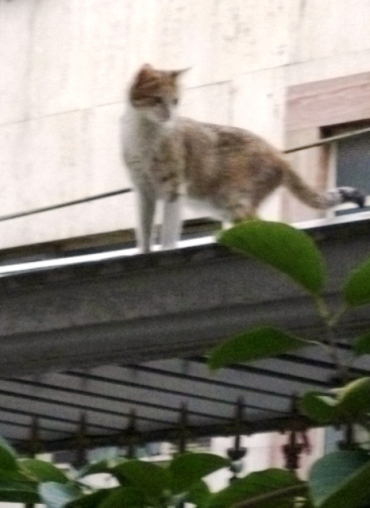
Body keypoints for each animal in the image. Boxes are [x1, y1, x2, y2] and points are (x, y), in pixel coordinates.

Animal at [121, 64, 364, 253]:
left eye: (175, 101)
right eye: (157, 100)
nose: (170, 116)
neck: (144, 132)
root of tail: (278, 153)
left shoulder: (173, 187)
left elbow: (169, 229)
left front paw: (166, 249)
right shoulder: (143, 189)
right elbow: (144, 228)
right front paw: (143, 252)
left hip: (236, 200)